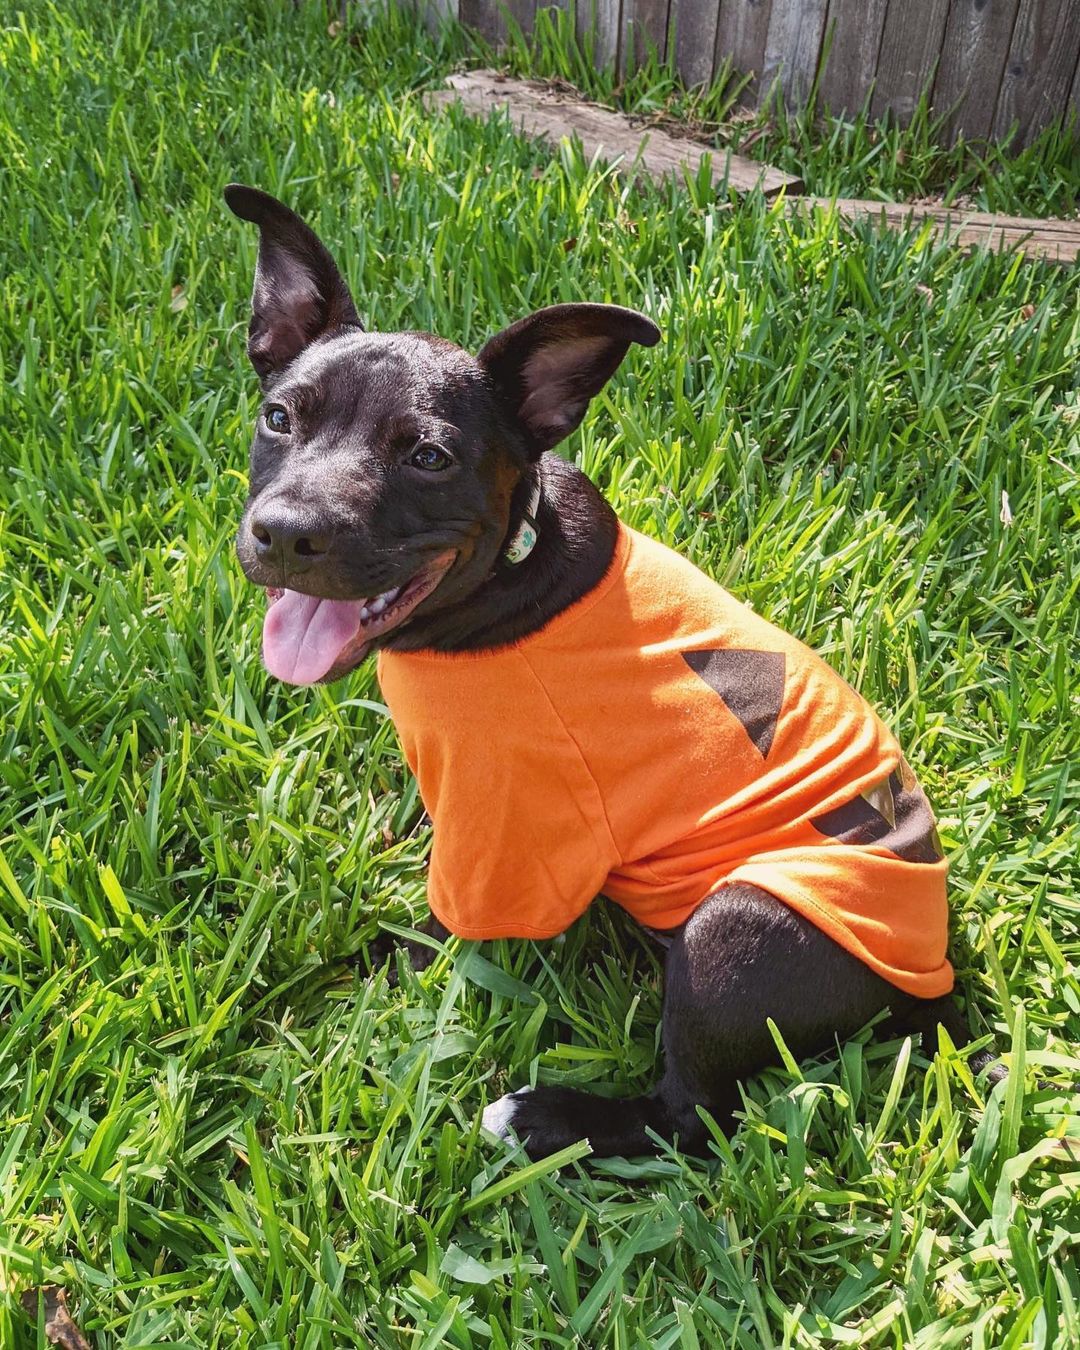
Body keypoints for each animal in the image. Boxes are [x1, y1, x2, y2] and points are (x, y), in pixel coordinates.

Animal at [224, 187, 999, 1161]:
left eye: (429, 457)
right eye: (279, 418)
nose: (286, 534)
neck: (511, 567)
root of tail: (936, 996)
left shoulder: (503, 831)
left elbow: (431, 936)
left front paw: (345, 999)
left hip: (736, 927)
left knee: (691, 1118)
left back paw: (546, 1118)